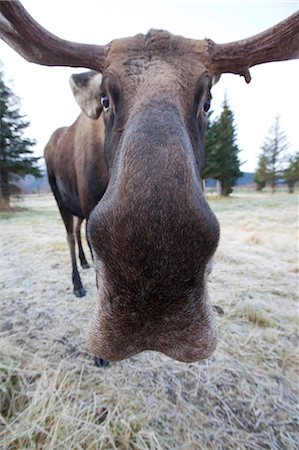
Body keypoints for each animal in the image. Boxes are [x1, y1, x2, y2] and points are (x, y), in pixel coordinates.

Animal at [1, 1, 298, 364]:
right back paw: (77, 281)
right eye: (105, 99)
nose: (156, 272)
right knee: (71, 235)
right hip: (60, 197)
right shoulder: (86, 199)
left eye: (208, 102)